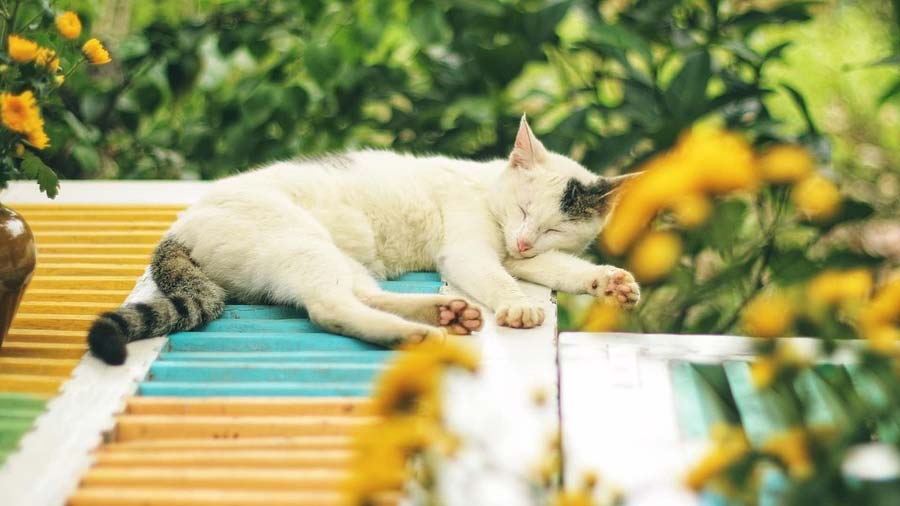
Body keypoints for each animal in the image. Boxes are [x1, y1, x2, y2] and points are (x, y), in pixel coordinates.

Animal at [88, 114, 640, 364]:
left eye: (554, 227)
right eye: (523, 209)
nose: (524, 239)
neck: (488, 194)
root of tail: (178, 229)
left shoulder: (528, 258)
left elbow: (561, 269)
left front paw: (609, 282)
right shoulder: (469, 251)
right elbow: (496, 277)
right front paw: (517, 305)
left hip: (335, 258)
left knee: (360, 295)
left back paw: (441, 314)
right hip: (303, 243)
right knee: (328, 307)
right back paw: (414, 333)